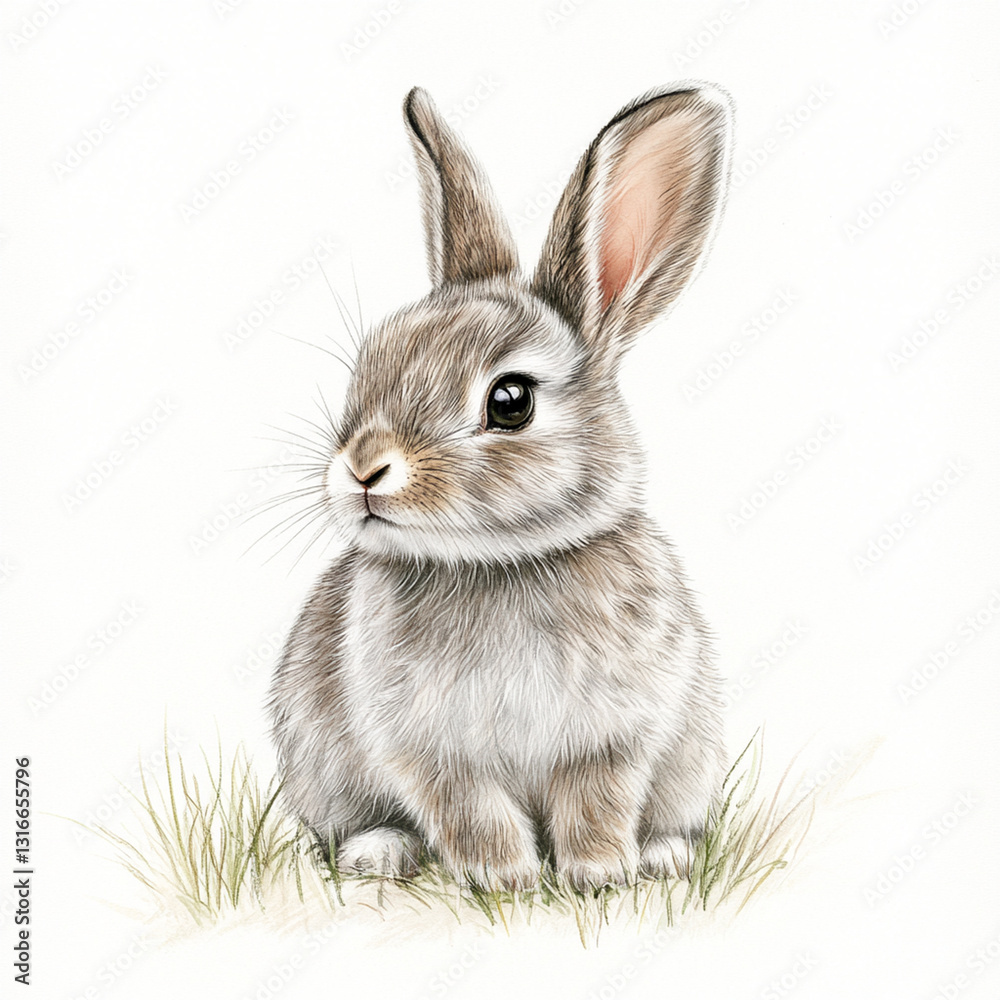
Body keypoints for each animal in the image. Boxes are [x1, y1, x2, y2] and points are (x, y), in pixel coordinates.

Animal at [267, 82, 732, 891]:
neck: (501, 562)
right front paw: (505, 879)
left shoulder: (614, 737)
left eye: (510, 401)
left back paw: (663, 857)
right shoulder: (429, 750)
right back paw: (376, 854)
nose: (363, 468)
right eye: (370, 364)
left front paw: (596, 874)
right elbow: (472, 813)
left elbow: (596, 803)